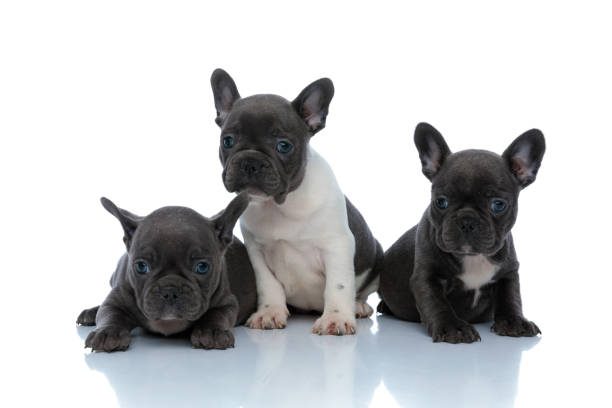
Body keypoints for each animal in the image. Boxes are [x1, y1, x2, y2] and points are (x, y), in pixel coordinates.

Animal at [77, 193, 256, 352]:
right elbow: (109, 313)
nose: (170, 291)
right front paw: (107, 333)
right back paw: (90, 313)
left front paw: (211, 332)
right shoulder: (116, 299)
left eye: (202, 267)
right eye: (141, 266)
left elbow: (217, 314)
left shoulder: (226, 302)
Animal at [210, 67, 382, 334]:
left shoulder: (337, 246)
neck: (280, 205)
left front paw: (336, 319)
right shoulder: (257, 253)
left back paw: (358, 306)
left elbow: (338, 284)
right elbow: (268, 284)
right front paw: (269, 312)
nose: (251, 161)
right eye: (227, 141)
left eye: (283, 146)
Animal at [378, 122, 544, 342]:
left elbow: (511, 298)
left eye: (498, 205)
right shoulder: (426, 277)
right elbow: (437, 303)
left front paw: (514, 322)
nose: (467, 221)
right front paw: (452, 327)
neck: (473, 257)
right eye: (441, 202)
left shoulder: (508, 273)